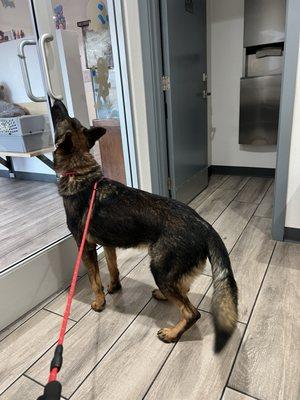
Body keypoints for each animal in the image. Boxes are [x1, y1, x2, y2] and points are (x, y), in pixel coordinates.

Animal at [52, 101, 239, 354]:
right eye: (70, 118)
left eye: (63, 118)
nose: (56, 101)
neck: (81, 173)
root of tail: (204, 225)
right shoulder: (108, 244)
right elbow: (112, 267)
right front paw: (115, 287)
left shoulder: (87, 247)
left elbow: (94, 280)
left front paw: (100, 302)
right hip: (171, 273)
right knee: (184, 291)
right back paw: (163, 298)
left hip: (160, 269)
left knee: (192, 312)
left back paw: (172, 333)